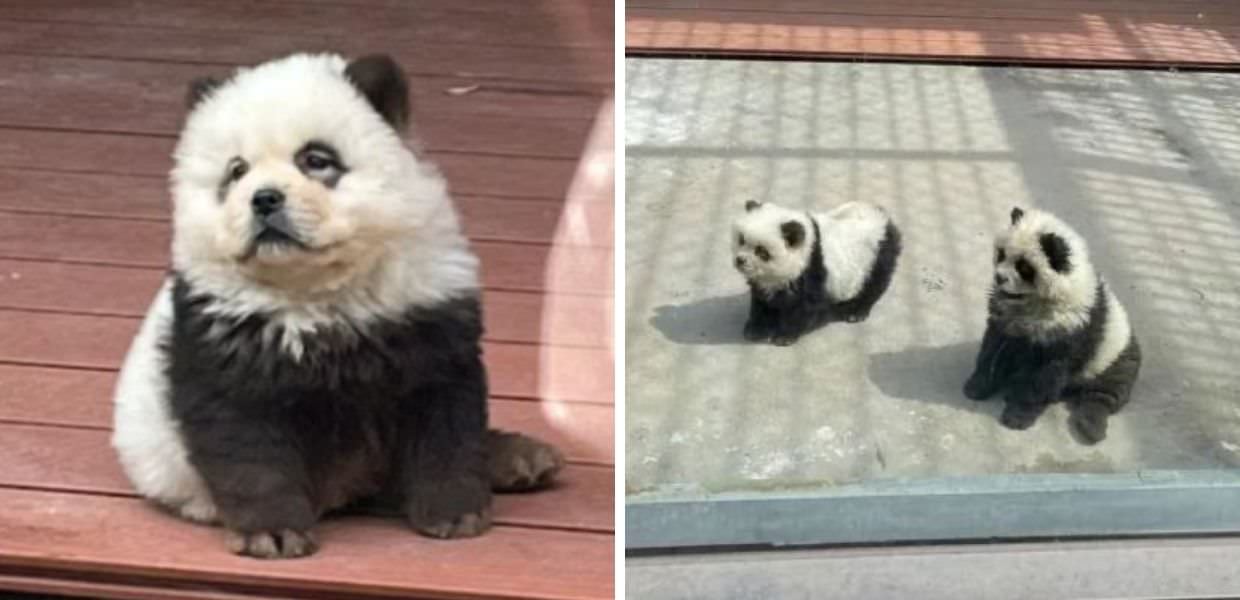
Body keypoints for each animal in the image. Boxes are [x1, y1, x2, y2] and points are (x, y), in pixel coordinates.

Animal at [110, 53, 565, 559]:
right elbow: (246, 442)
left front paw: (456, 513)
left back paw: (520, 458)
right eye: (236, 171)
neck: (317, 288)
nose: (264, 199)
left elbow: (445, 418)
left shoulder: (426, 313)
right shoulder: (222, 333)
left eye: (316, 160)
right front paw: (272, 533)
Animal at [732, 200, 902, 346]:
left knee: (872, 286)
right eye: (741, 240)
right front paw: (755, 330)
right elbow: (761, 302)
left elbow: (805, 306)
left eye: (761, 251)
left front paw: (784, 336)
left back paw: (856, 312)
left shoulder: (811, 271)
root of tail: (884, 218)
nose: (740, 261)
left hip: (876, 257)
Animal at [963, 207, 1141, 445]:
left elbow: (1045, 376)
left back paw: (1090, 425)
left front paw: (1018, 416)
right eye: (1001, 254)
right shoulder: (1005, 320)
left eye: (1024, 267)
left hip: (1115, 358)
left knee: (1106, 393)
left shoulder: (1070, 330)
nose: (999, 278)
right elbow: (992, 349)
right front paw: (976, 386)